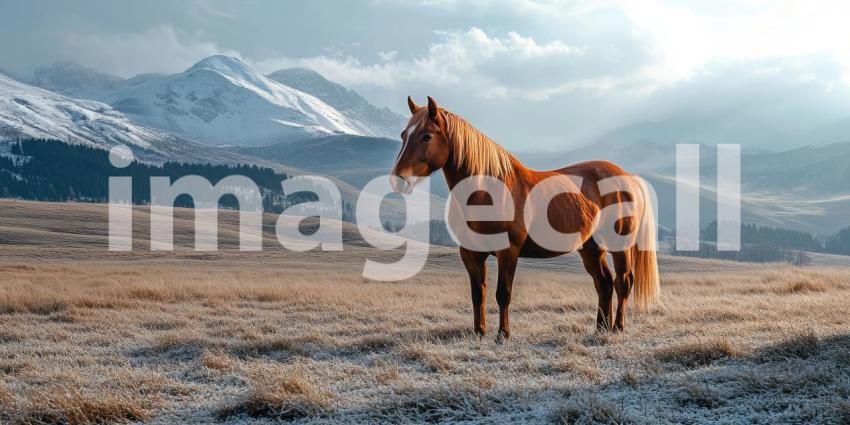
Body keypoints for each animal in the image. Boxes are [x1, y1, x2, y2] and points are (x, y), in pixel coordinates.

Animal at [391, 96, 660, 342]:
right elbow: (478, 294)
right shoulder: (470, 254)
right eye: (404, 135)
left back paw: (617, 327)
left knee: (623, 282)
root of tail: (627, 177)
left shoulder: (508, 251)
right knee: (604, 284)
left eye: (426, 136)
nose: (398, 180)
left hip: (619, 246)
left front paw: (503, 335)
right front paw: (479, 332)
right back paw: (600, 329)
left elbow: (503, 293)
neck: (485, 191)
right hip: (591, 248)